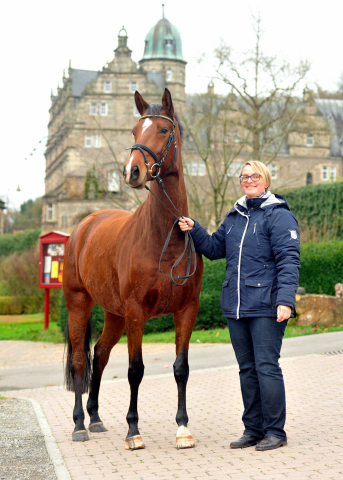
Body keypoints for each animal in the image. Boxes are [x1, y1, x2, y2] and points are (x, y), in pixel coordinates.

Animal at [63, 89, 204, 450]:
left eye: (164, 130)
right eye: (134, 130)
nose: (132, 172)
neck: (164, 238)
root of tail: (85, 224)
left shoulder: (187, 310)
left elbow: (181, 367)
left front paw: (183, 428)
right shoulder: (136, 313)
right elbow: (135, 370)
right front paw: (133, 430)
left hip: (114, 314)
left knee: (99, 354)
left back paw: (95, 418)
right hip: (79, 304)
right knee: (80, 360)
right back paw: (79, 424)